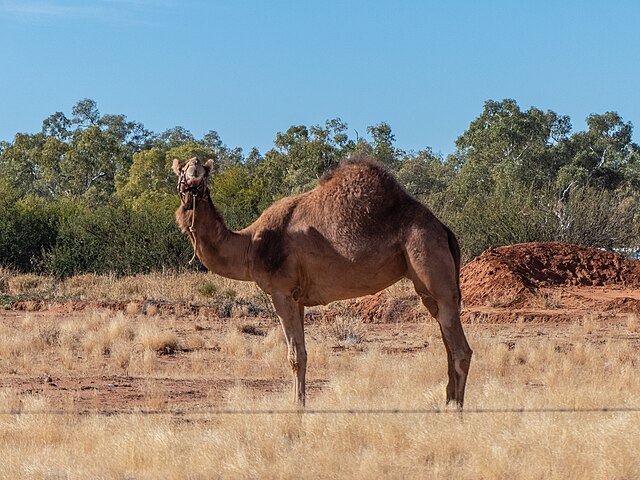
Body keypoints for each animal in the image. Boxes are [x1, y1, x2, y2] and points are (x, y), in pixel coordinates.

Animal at [172, 155, 472, 408]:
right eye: (182, 168)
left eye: (205, 170)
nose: (194, 171)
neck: (250, 244)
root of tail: (444, 230)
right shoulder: (297, 297)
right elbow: (302, 353)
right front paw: (300, 404)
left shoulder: (281, 292)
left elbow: (294, 356)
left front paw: (297, 409)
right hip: (428, 284)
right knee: (448, 342)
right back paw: (448, 403)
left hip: (429, 260)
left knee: (461, 350)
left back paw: (456, 412)